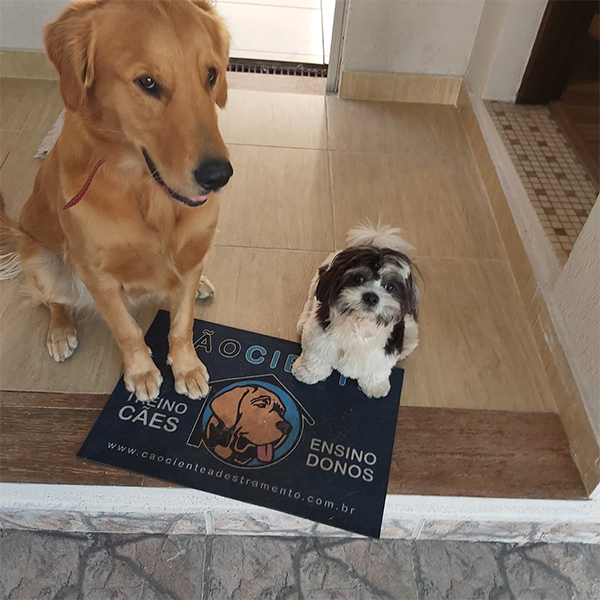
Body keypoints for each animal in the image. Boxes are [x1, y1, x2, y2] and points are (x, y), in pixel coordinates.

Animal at [0, 0, 231, 401]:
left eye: (211, 74)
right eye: (147, 82)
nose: (219, 176)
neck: (148, 195)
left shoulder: (192, 251)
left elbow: (182, 324)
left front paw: (186, 367)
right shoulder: (98, 276)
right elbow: (127, 331)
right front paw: (141, 372)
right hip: (42, 262)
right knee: (54, 302)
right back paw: (60, 332)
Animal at [292, 224, 420, 398]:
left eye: (390, 287)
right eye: (358, 278)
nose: (371, 297)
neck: (359, 324)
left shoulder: (384, 353)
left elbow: (378, 371)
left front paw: (375, 387)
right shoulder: (319, 337)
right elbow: (316, 357)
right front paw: (308, 373)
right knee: (311, 301)